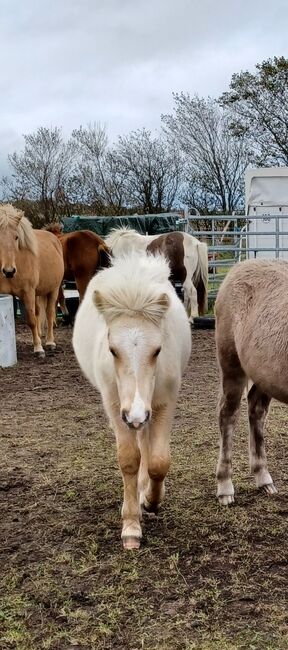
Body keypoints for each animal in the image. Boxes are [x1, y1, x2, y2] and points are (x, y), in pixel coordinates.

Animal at [0, 202, 63, 354]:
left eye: (16, 237)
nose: (9, 271)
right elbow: (34, 317)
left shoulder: (28, 292)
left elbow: (31, 320)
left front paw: (38, 348)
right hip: (37, 293)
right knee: (39, 311)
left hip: (53, 289)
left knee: (50, 313)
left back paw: (50, 342)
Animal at [73, 252, 192, 548]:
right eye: (112, 350)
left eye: (157, 350)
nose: (136, 414)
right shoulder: (116, 408)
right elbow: (129, 459)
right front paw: (130, 525)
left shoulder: (163, 404)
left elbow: (159, 461)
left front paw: (151, 500)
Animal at [214, 256, 288, 502]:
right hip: (232, 367)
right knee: (228, 414)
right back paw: (225, 486)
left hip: (265, 374)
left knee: (256, 409)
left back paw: (263, 478)